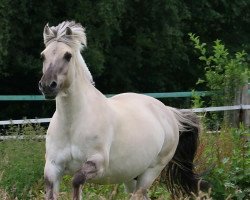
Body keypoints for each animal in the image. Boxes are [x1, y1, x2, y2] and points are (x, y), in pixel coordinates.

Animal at [39, 21, 206, 199]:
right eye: (43, 56)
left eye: (68, 55)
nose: (47, 85)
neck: (73, 122)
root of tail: (169, 113)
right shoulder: (53, 168)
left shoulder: (97, 162)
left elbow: (76, 181)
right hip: (131, 176)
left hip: (150, 172)